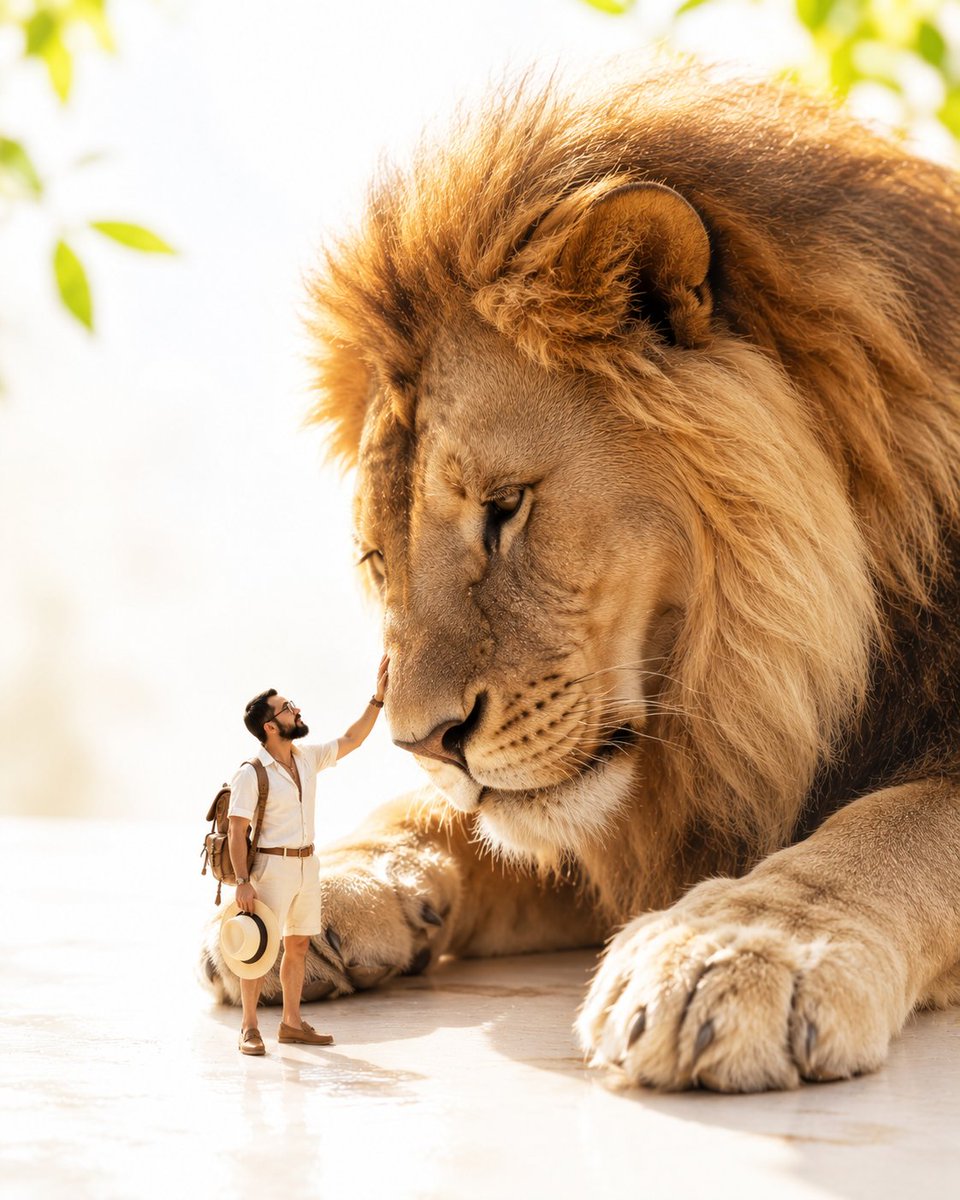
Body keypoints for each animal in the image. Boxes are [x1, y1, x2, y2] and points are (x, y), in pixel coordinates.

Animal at [201, 66, 960, 1092]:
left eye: (505, 506)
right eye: (376, 560)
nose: (426, 742)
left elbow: (899, 820)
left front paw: (737, 952)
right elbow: (460, 823)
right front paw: (328, 882)